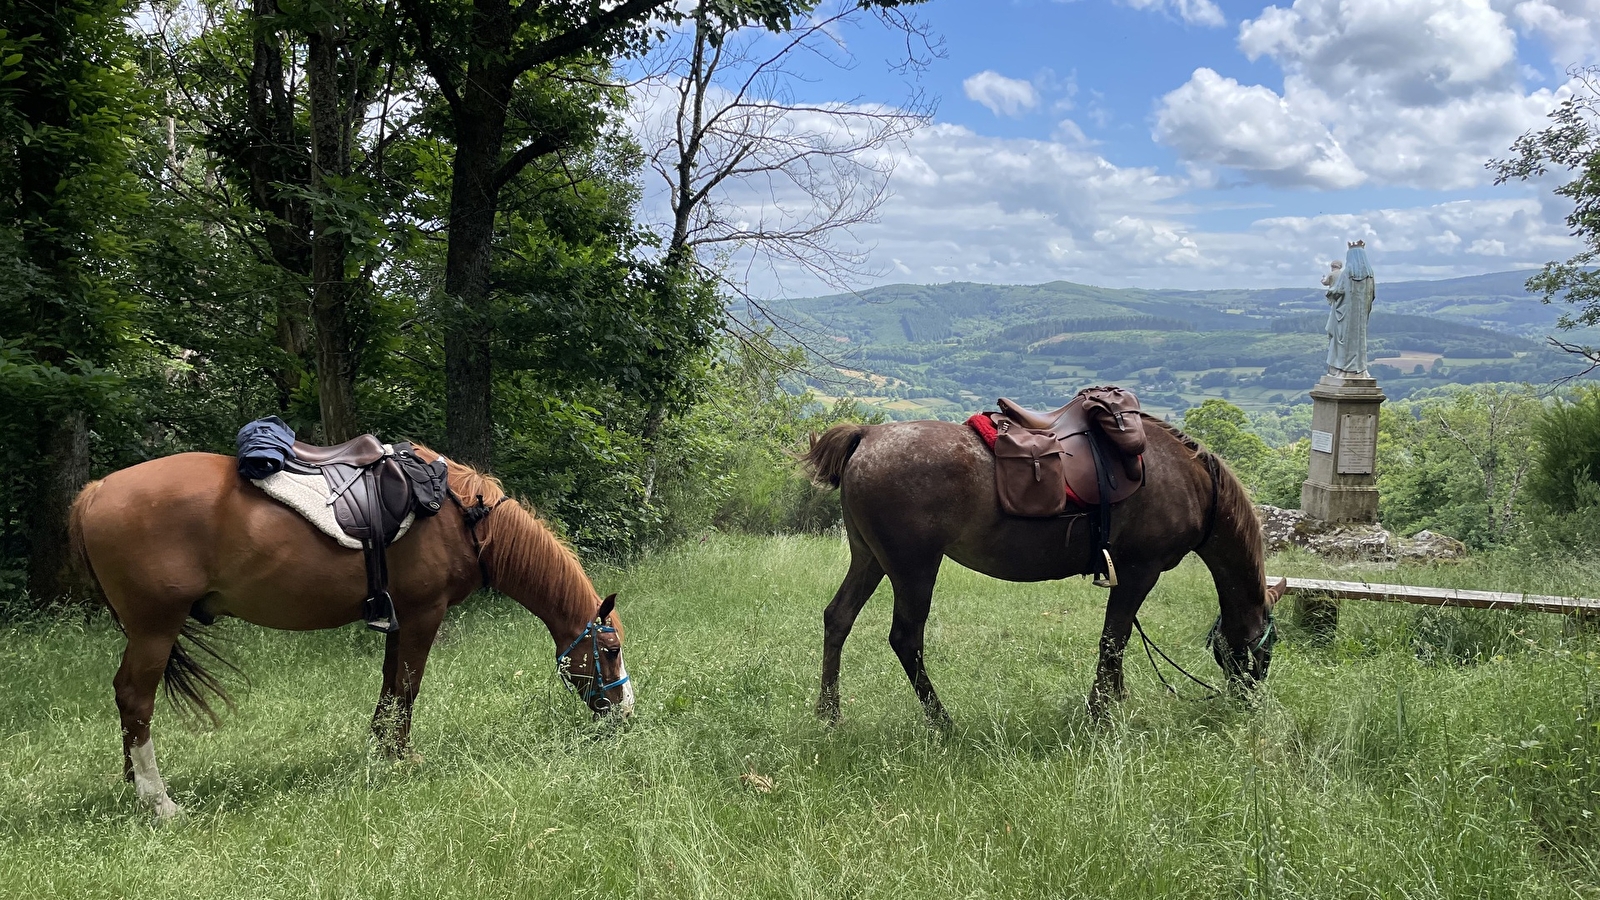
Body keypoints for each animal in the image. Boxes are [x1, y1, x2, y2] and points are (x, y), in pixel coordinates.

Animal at [68, 445, 630, 816]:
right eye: (611, 650)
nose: (626, 713)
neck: (464, 517)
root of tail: (95, 492)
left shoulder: (400, 616)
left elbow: (389, 685)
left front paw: (382, 751)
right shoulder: (424, 613)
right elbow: (408, 685)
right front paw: (404, 757)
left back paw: (132, 783)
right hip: (154, 628)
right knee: (135, 698)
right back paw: (158, 799)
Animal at [800, 416, 1286, 720]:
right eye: (1268, 647)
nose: (1249, 701)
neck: (1194, 483)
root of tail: (867, 435)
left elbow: (1117, 642)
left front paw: (1115, 700)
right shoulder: (1138, 571)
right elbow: (1113, 641)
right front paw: (1100, 713)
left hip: (870, 558)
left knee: (838, 617)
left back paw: (829, 713)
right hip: (913, 567)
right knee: (906, 639)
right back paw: (943, 723)